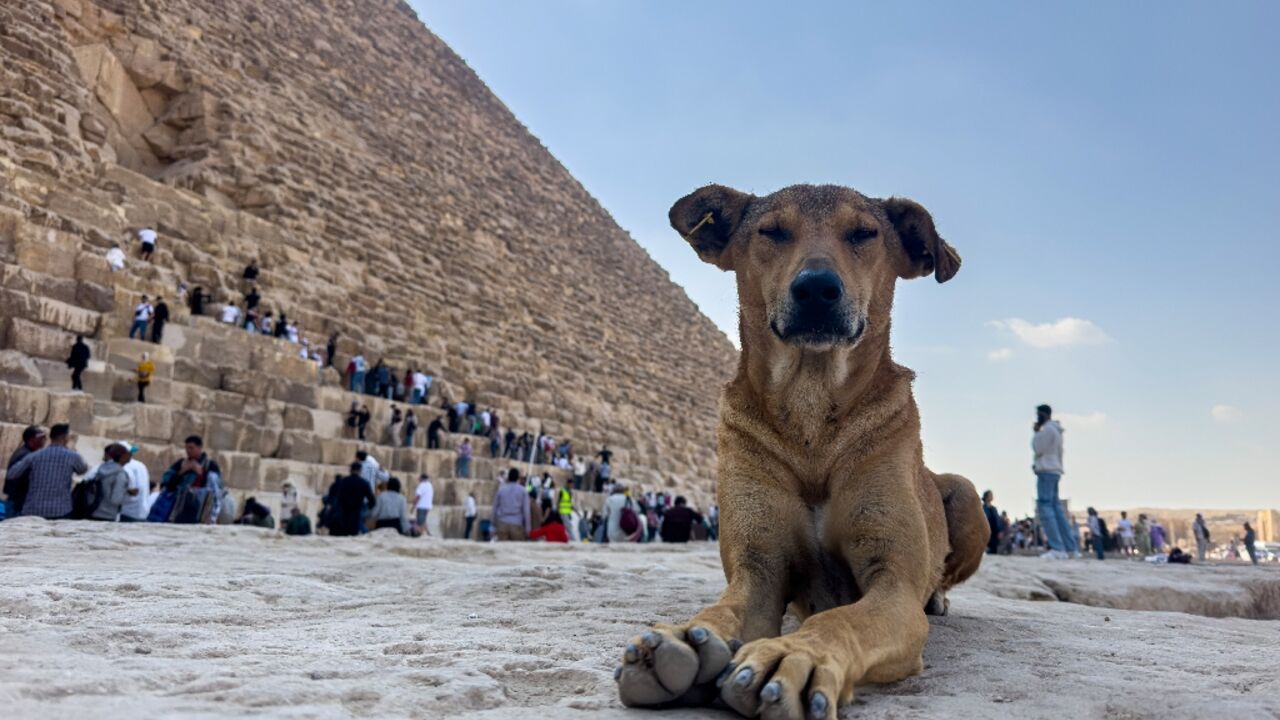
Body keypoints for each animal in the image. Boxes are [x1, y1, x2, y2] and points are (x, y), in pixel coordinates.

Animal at [614, 184, 983, 717]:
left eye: (864, 233)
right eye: (772, 231)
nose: (816, 289)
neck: (811, 414)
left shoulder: (893, 584)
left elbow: (839, 619)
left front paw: (794, 655)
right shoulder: (759, 573)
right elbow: (723, 608)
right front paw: (686, 637)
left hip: (967, 495)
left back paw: (937, 597)